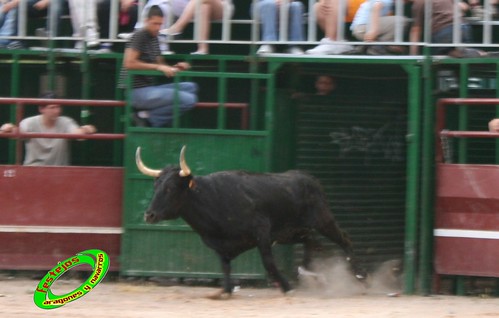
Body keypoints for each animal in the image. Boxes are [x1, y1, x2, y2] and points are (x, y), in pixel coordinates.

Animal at [135, 146, 366, 296]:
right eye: (156, 186)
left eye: (170, 188)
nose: (149, 215)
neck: (212, 198)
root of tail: (309, 179)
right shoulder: (221, 245)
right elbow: (225, 266)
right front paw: (226, 290)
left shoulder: (261, 231)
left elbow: (268, 262)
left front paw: (286, 286)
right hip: (291, 232)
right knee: (311, 242)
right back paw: (309, 273)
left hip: (323, 220)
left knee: (345, 240)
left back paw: (358, 276)